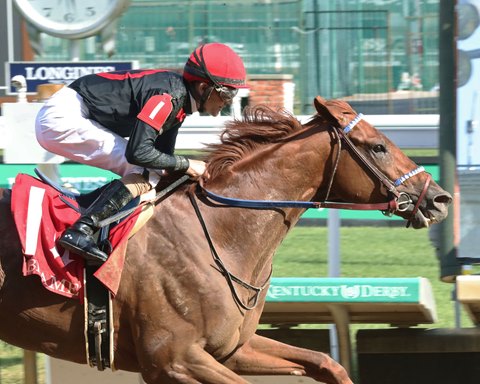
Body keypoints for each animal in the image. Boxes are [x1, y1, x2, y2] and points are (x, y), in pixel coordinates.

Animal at [0, 97, 450, 384]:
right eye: (378, 146)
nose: (439, 198)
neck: (220, 233)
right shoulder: (173, 360)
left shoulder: (232, 348)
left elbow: (326, 362)